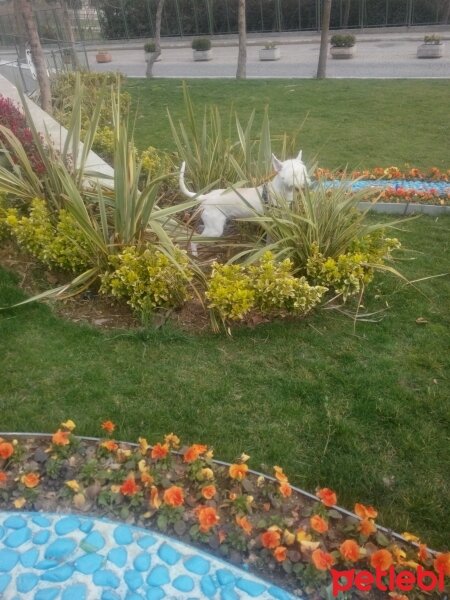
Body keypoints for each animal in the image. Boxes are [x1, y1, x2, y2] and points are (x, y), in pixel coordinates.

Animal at [178, 152, 310, 246]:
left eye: (304, 172)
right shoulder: (274, 223)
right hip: (214, 230)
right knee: (193, 241)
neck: (279, 191)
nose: (307, 184)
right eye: (293, 175)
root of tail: (206, 196)